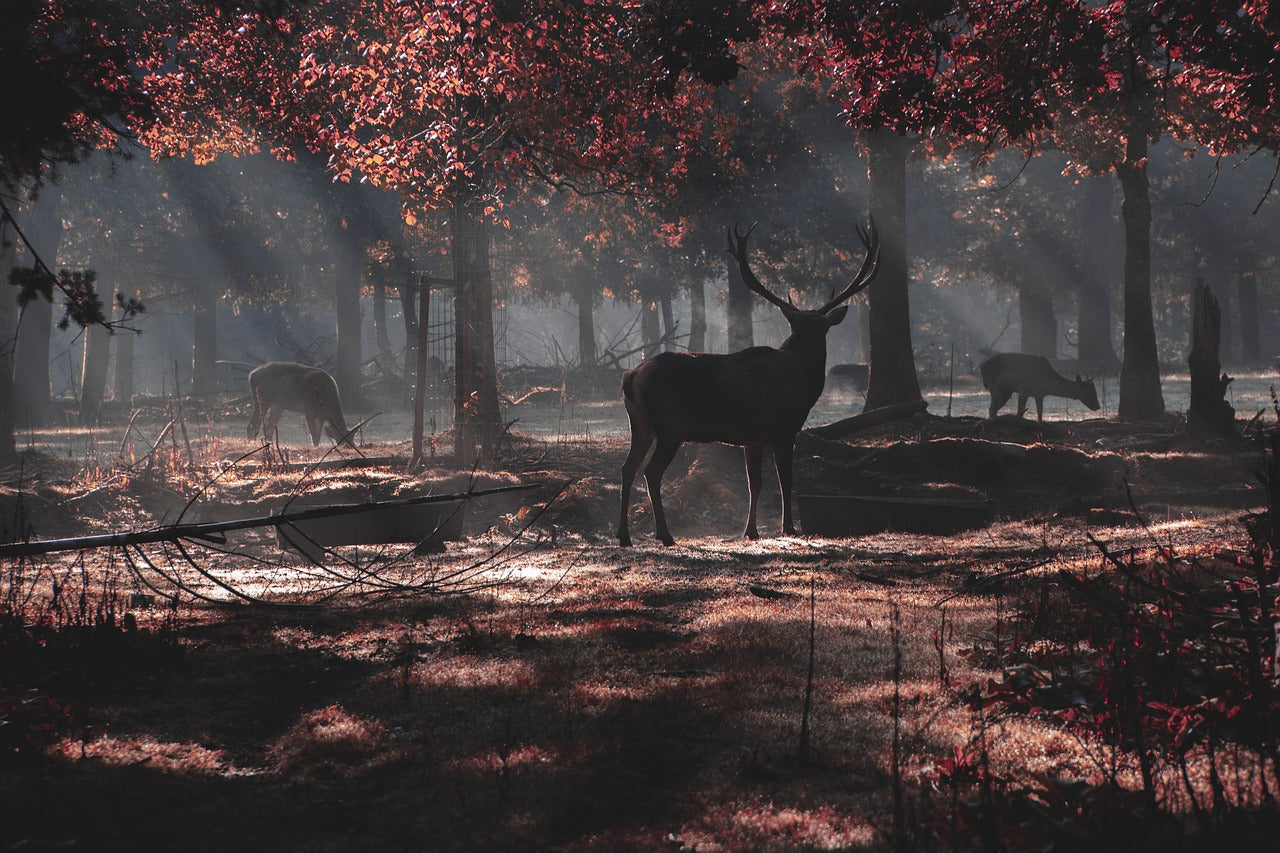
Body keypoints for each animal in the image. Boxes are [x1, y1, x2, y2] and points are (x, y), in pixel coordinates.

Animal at [619, 219, 880, 545]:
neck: (803, 381)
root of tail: (631, 377)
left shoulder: (751, 438)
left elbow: (753, 483)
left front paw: (751, 530)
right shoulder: (783, 428)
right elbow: (785, 480)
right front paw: (788, 527)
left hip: (641, 424)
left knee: (627, 468)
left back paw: (624, 536)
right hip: (670, 424)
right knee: (651, 472)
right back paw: (665, 535)